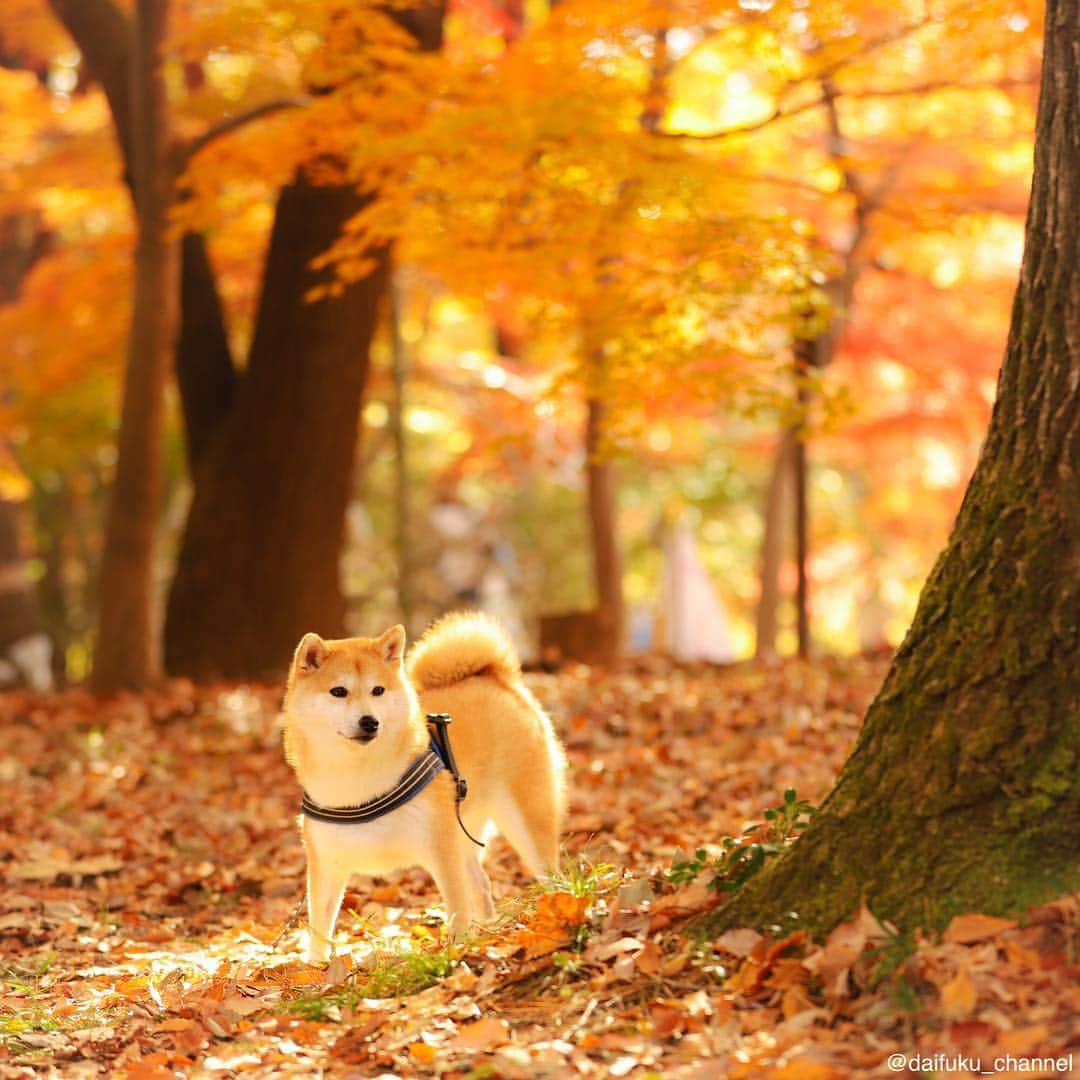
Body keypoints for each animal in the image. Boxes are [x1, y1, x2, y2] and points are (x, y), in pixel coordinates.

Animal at [280, 609, 565, 963]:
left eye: (378, 690)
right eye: (338, 692)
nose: (369, 721)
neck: (358, 778)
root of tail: (496, 678)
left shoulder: (441, 850)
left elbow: (457, 908)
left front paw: (457, 951)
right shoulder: (326, 866)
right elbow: (319, 927)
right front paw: (316, 969)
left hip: (524, 818)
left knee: (547, 872)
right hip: (463, 833)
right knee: (482, 885)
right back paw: (489, 930)